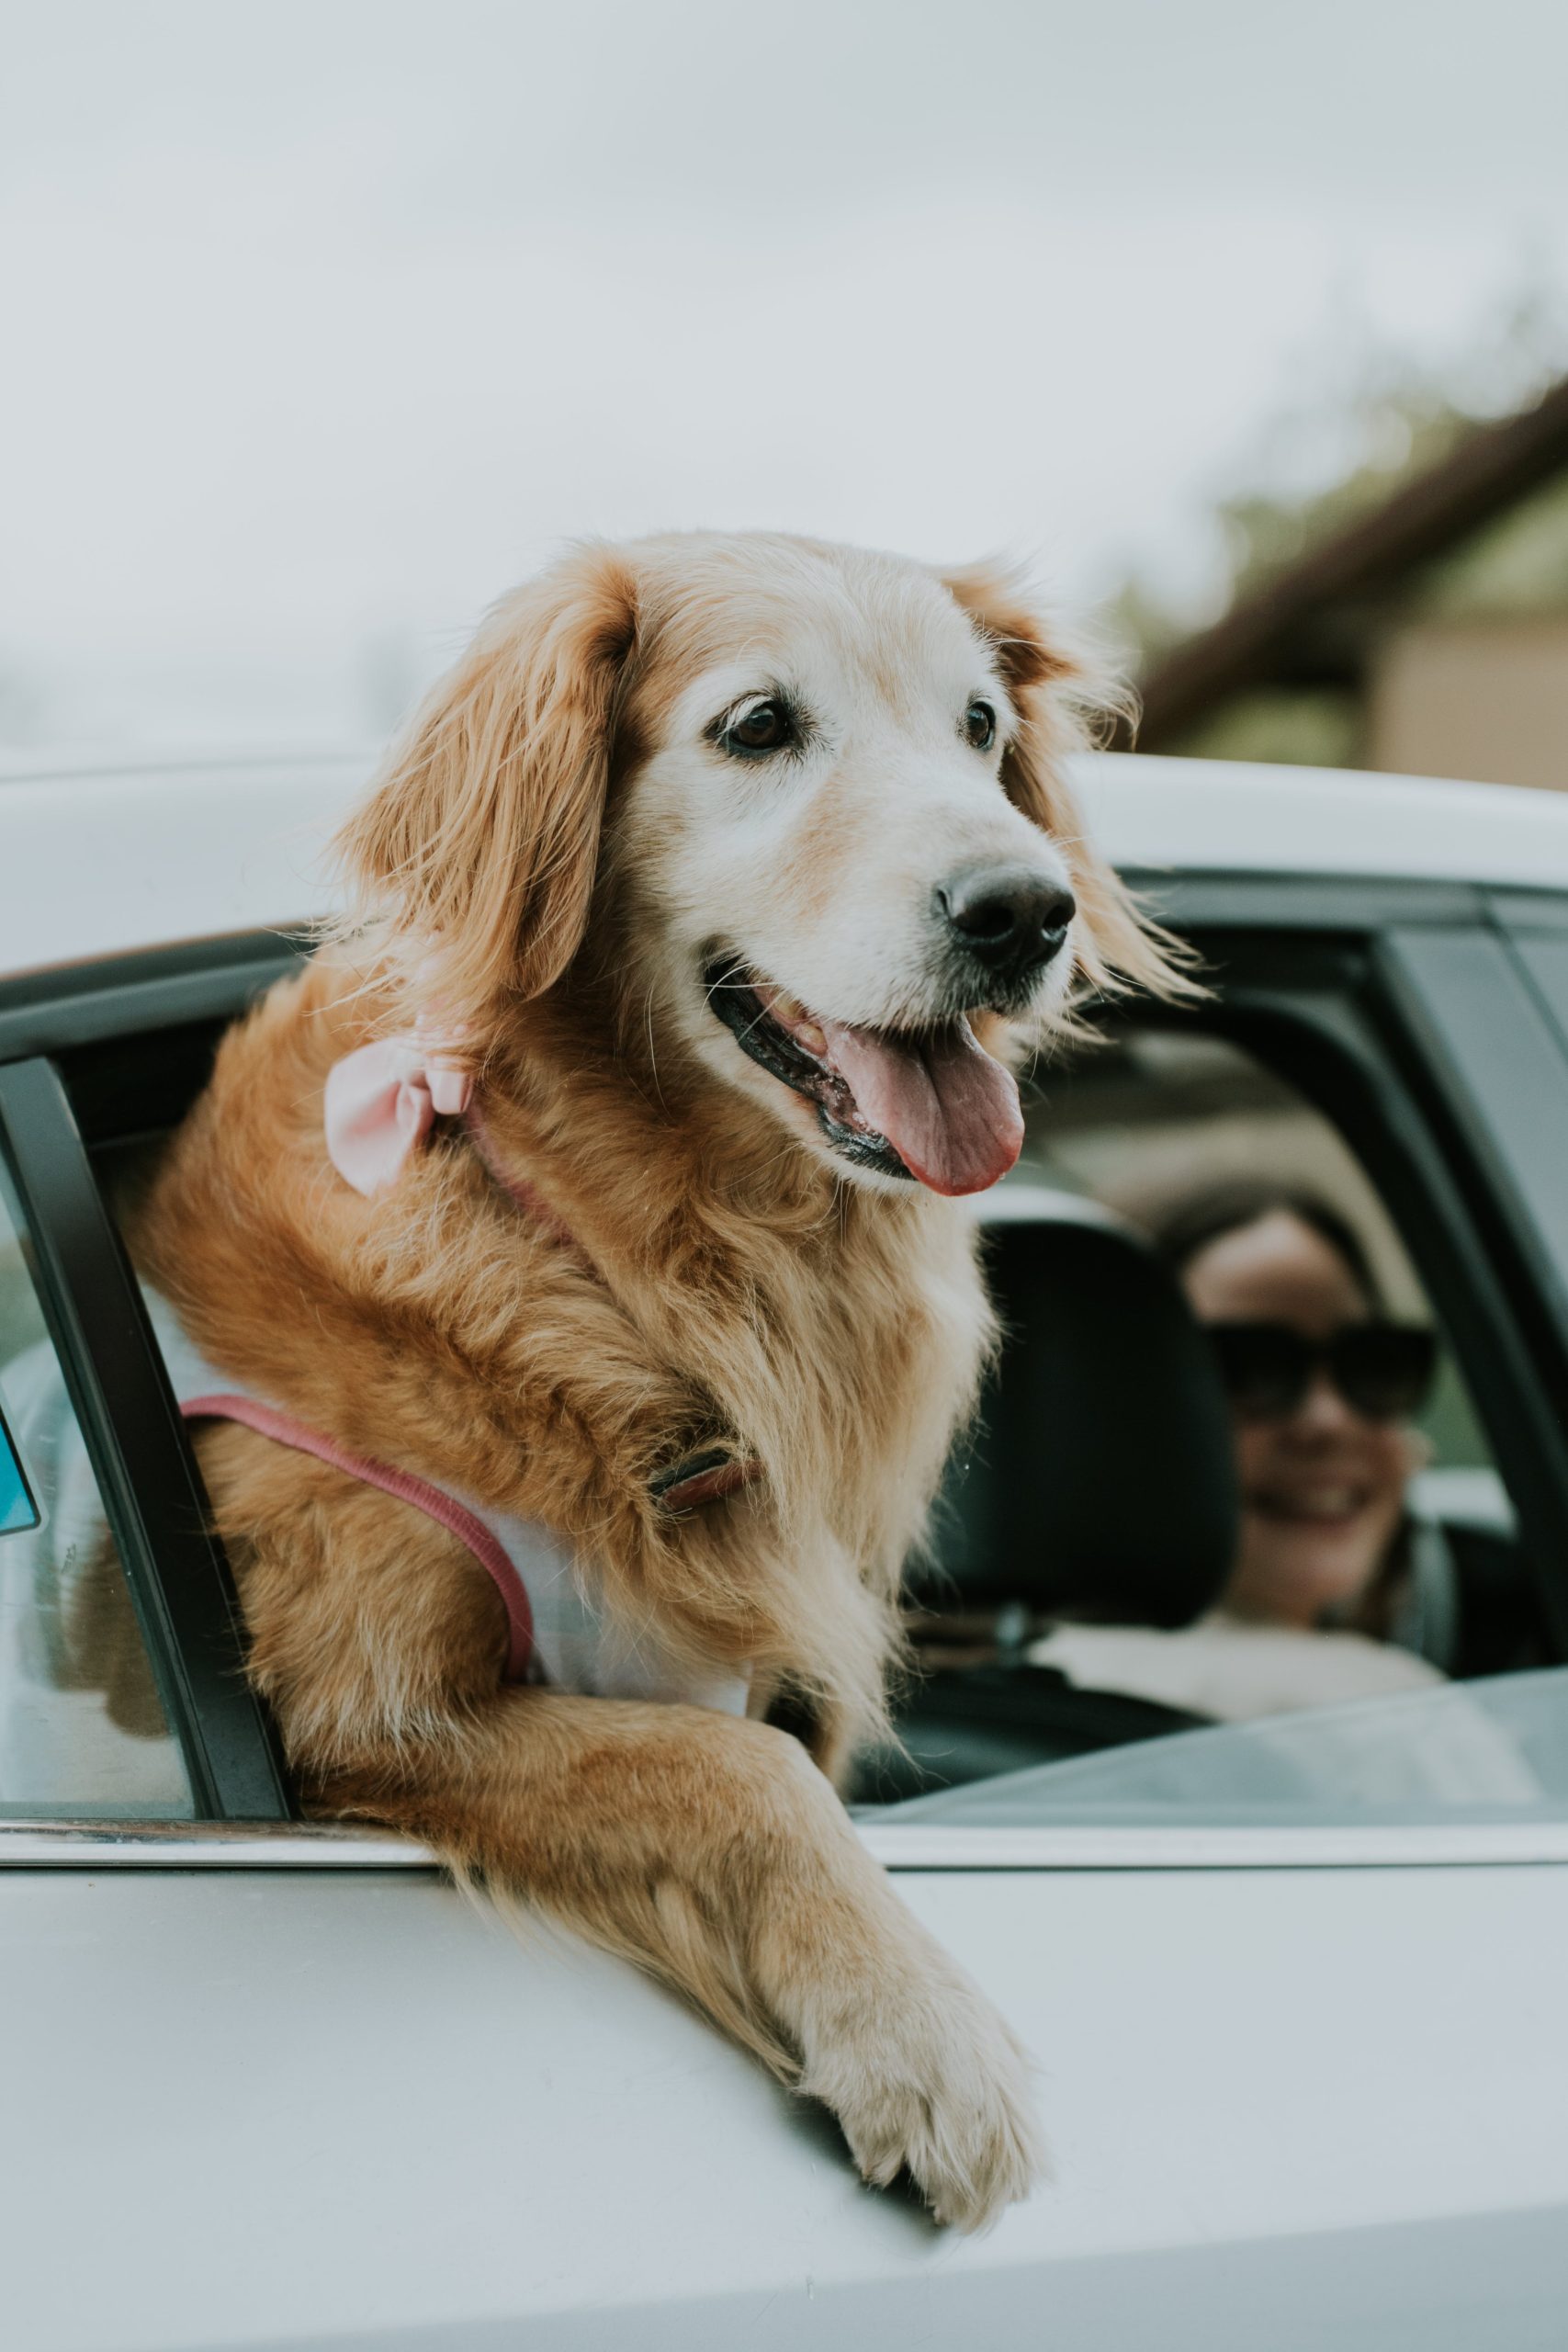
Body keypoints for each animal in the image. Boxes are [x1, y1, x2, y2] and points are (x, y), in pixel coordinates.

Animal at [135, 534, 1184, 2220]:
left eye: (975, 725)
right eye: (757, 726)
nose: (1026, 910)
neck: (626, 1245)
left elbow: (754, 1746)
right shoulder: (352, 1710)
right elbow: (738, 1769)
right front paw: (923, 2043)